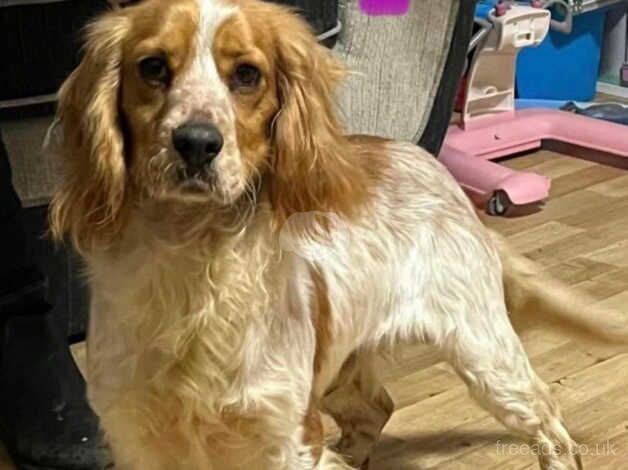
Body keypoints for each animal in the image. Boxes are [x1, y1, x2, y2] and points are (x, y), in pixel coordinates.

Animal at [47, 1, 628, 468]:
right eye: (152, 67)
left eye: (247, 75)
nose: (196, 143)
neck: (193, 256)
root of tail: (434, 165)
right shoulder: (137, 435)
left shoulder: (285, 437)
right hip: (341, 369)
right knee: (378, 408)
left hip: (487, 356)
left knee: (552, 429)